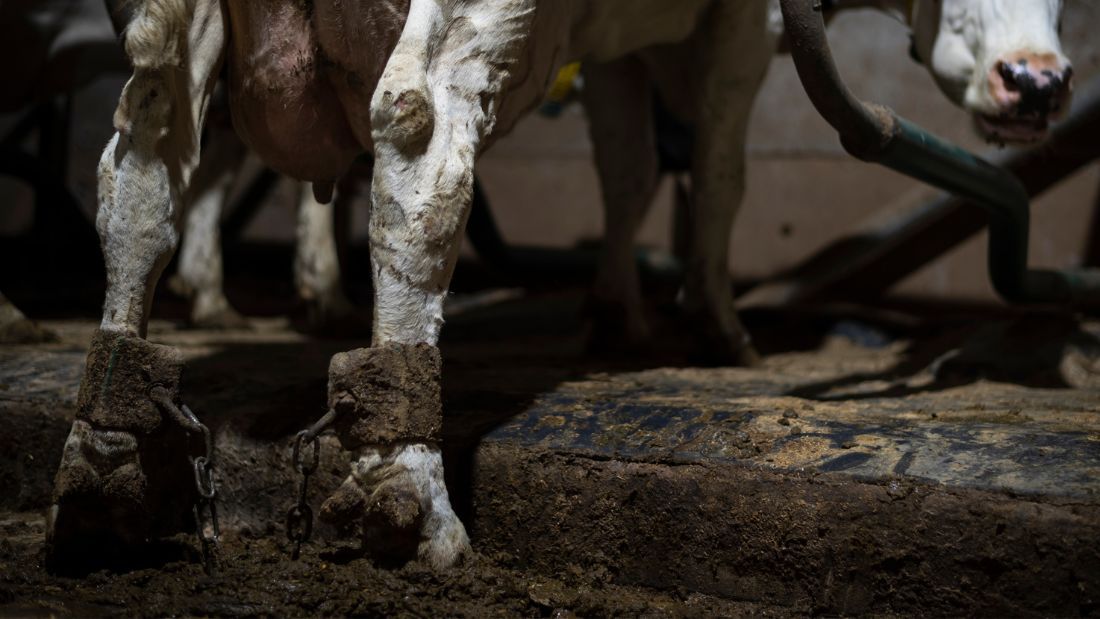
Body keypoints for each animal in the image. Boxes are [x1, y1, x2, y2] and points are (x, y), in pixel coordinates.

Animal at [47, 0, 1069, 571]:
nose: (1042, 84)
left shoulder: (618, 49)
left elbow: (625, 166)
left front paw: (616, 312)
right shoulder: (737, 30)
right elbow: (720, 171)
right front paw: (717, 325)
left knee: (141, 164)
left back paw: (100, 458)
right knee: (417, 134)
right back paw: (409, 491)